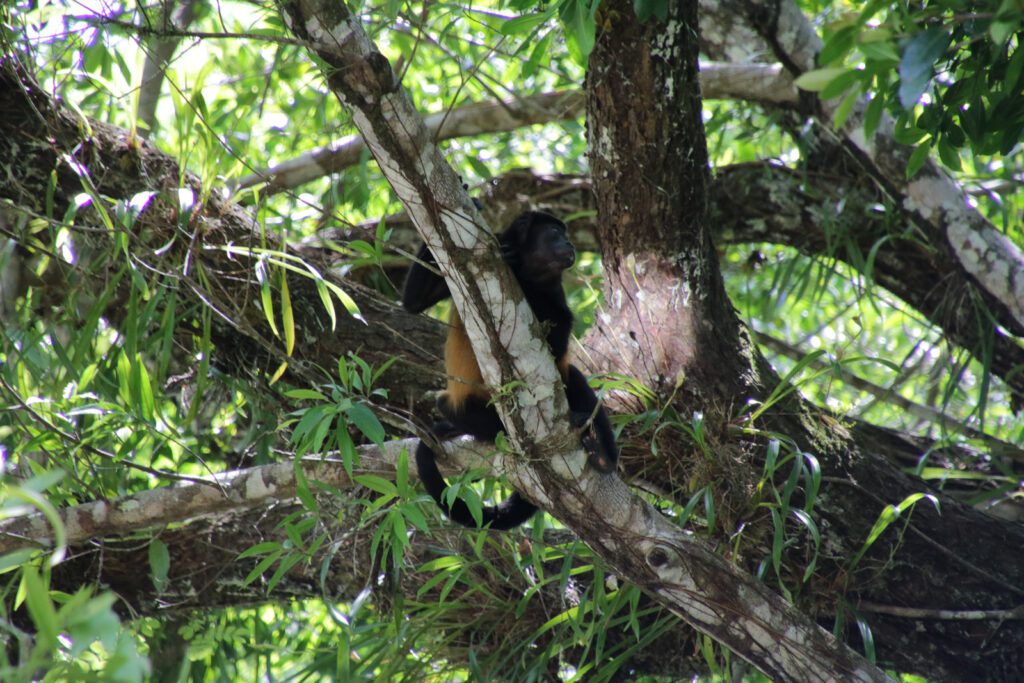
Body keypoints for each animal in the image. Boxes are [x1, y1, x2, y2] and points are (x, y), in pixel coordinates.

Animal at [402, 210, 618, 529]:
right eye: (555, 232)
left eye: (564, 234)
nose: (569, 243)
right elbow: (414, 303)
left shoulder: (554, 289)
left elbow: (558, 338)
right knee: (451, 407)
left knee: (575, 378)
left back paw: (602, 455)